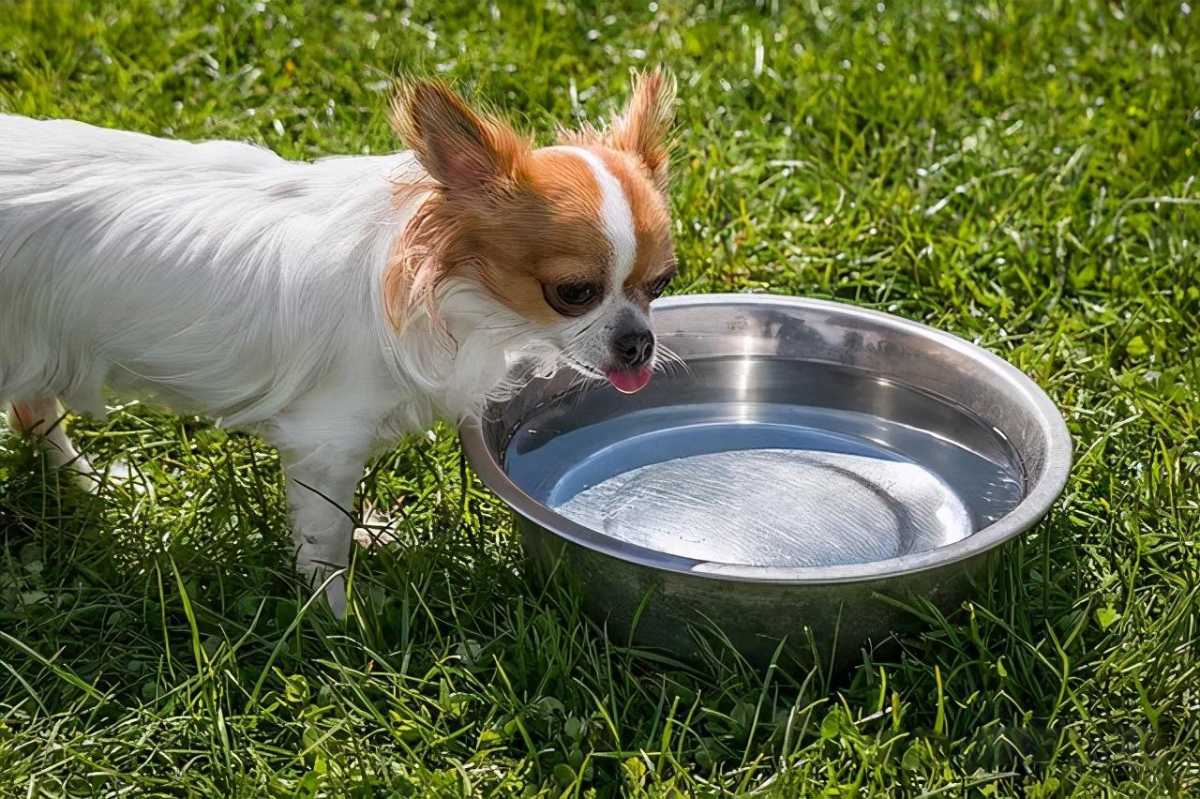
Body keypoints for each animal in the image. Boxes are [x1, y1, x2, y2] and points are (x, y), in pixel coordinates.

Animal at [0, 69, 676, 614]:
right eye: (573, 293)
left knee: (33, 412)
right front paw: (337, 619)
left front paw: (367, 544)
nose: (638, 343)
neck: (453, 290)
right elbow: (323, 535)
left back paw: (96, 486)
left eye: (662, 283)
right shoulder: (327, 441)